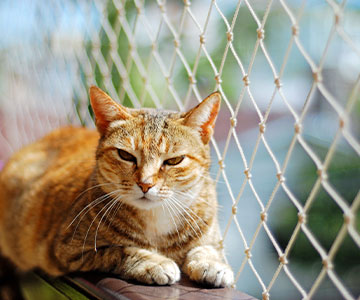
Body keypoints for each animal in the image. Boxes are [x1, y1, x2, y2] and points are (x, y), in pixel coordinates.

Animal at [0, 86, 233, 286]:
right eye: (125, 155)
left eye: (174, 161)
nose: (145, 184)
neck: (156, 219)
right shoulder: (66, 250)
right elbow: (121, 250)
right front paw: (154, 262)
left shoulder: (210, 235)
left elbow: (207, 248)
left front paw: (212, 263)